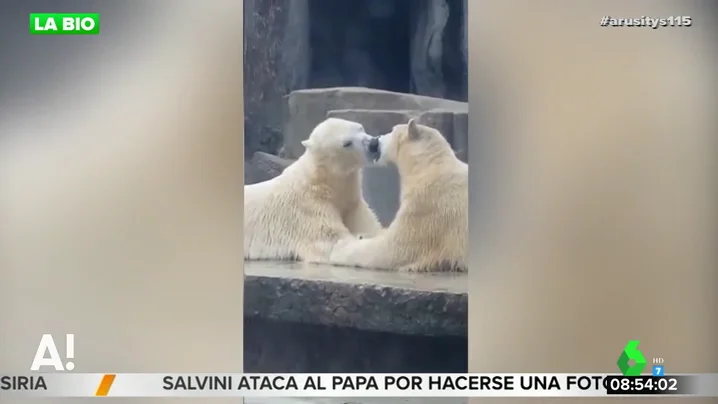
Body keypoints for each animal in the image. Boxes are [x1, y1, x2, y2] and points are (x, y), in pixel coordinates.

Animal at [245, 117, 386, 262]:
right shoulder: (307, 209)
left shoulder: (351, 202)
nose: (374, 144)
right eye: (347, 143)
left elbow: (370, 226)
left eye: (360, 128)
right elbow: (333, 243)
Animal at [330, 118, 470, 274]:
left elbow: (394, 249)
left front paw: (339, 247)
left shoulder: (430, 205)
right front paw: (362, 235)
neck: (429, 167)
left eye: (392, 130)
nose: (376, 140)